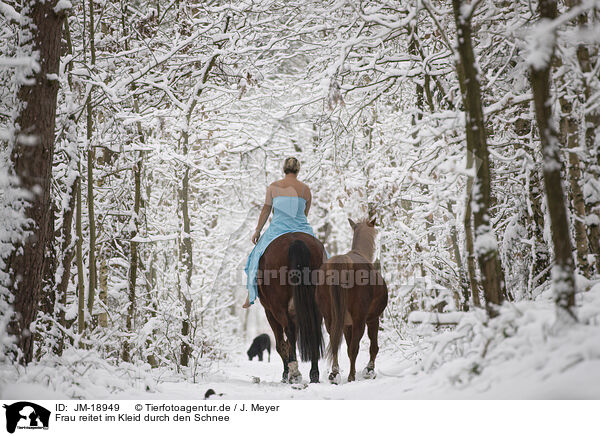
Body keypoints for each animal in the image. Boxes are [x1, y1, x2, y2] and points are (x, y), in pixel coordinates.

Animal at [255, 232, 326, 382]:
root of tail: (296, 241)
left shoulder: (269, 311)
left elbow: (281, 344)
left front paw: (286, 372)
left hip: (277, 306)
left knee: (289, 331)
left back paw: (294, 373)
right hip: (315, 302)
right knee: (313, 328)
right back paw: (314, 373)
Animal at [316, 218, 386, 382]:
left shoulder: (346, 324)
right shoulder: (372, 319)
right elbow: (373, 346)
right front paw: (369, 369)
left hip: (329, 318)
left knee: (335, 342)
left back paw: (335, 373)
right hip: (360, 319)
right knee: (355, 348)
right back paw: (351, 376)